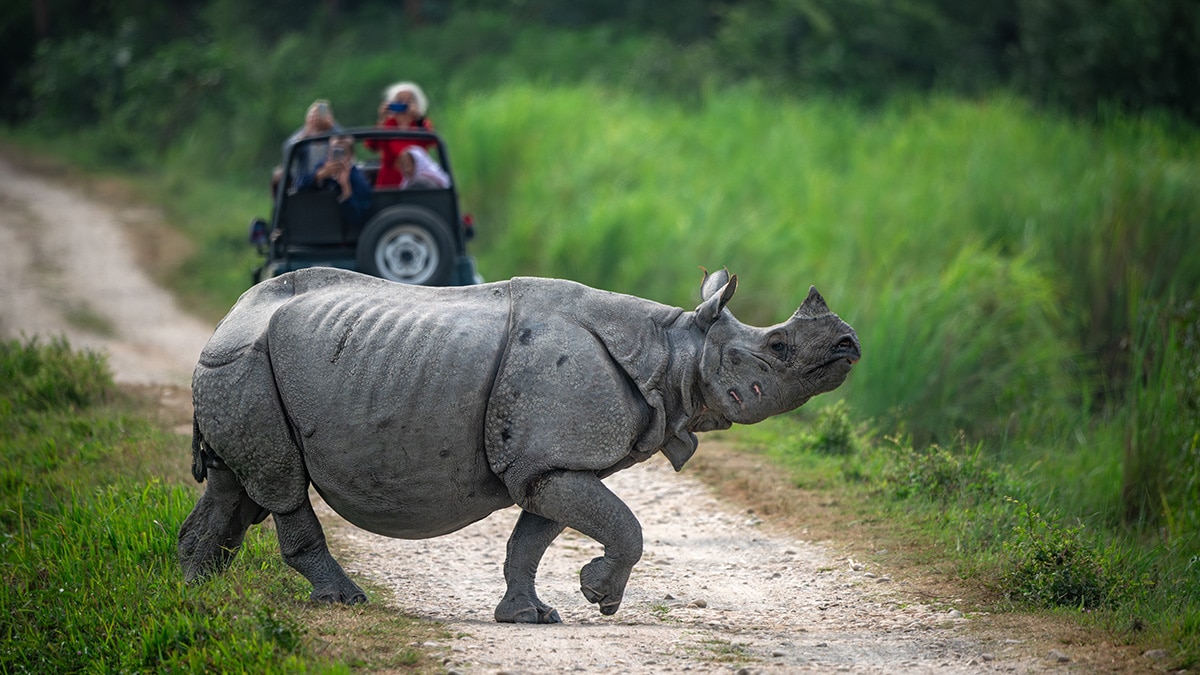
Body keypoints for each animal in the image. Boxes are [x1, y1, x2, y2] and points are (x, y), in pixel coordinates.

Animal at [179, 266, 859, 623]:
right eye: (778, 347)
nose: (850, 344)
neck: (673, 349)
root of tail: (228, 317)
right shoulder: (550, 461)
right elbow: (625, 526)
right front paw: (599, 598)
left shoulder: (548, 463)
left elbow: (531, 540)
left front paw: (531, 616)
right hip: (246, 363)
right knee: (282, 486)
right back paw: (343, 601)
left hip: (244, 366)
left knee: (235, 488)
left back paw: (196, 593)